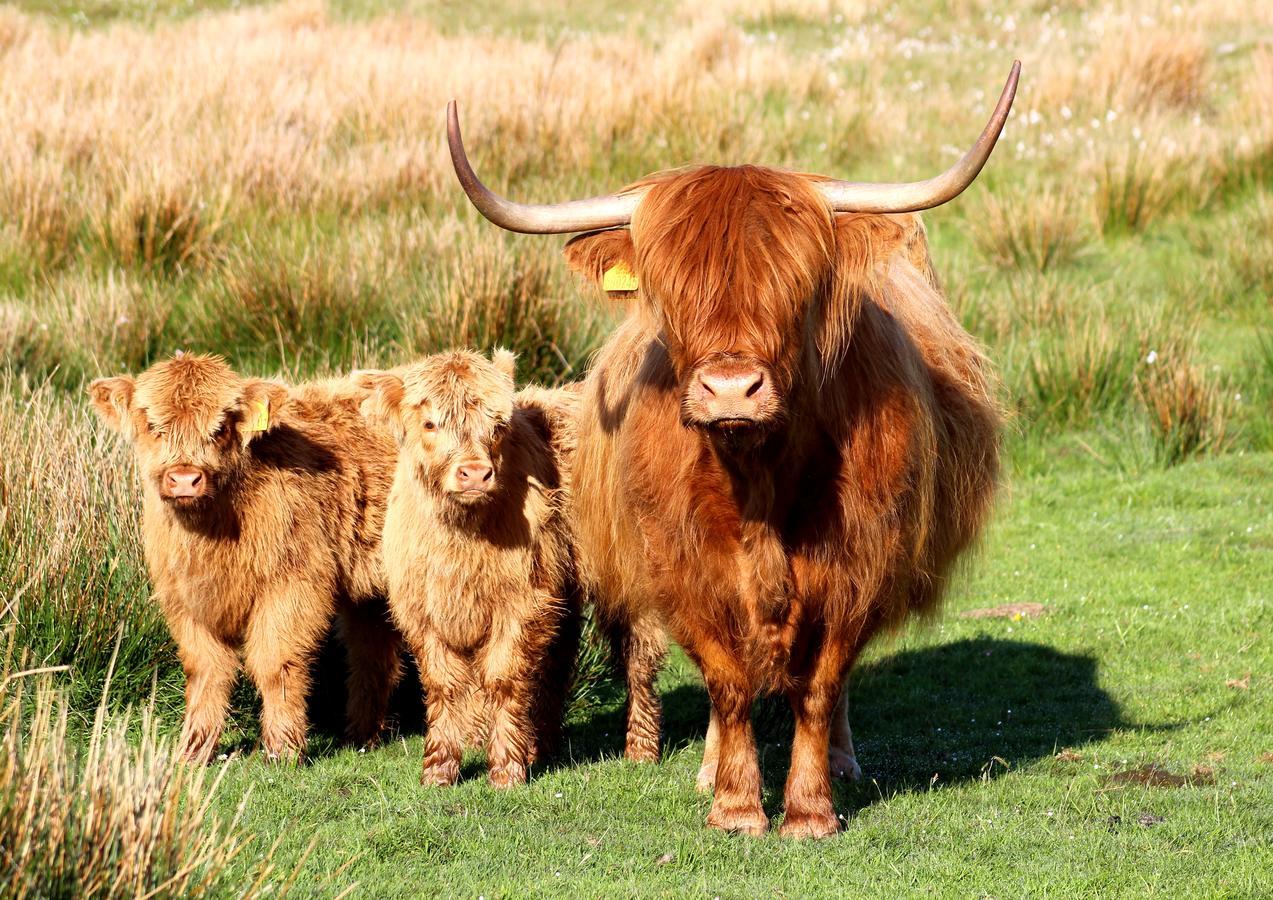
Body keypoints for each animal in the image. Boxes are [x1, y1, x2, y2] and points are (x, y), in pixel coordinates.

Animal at [92, 356, 399, 763]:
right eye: (152, 424)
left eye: (220, 426)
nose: (185, 479)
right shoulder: (184, 599)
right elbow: (205, 669)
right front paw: (193, 750)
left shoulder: (292, 585)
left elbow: (275, 663)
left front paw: (283, 750)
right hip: (370, 590)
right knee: (372, 654)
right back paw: (361, 738)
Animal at [356, 351, 580, 789]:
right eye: (430, 423)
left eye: (498, 426)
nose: (475, 473)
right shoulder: (423, 613)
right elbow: (443, 686)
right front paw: (438, 769)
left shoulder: (521, 603)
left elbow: (504, 680)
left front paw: (507, 770)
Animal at [448, 61, 1023, 840]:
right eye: (667, 290)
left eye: (799, 286)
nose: (729, 389)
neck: (759, 485)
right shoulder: (683, 566)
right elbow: (726, 679)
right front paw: (735, 806)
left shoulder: (858, 564)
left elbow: (822, 684)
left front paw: (810, 811)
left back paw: (843, 762)